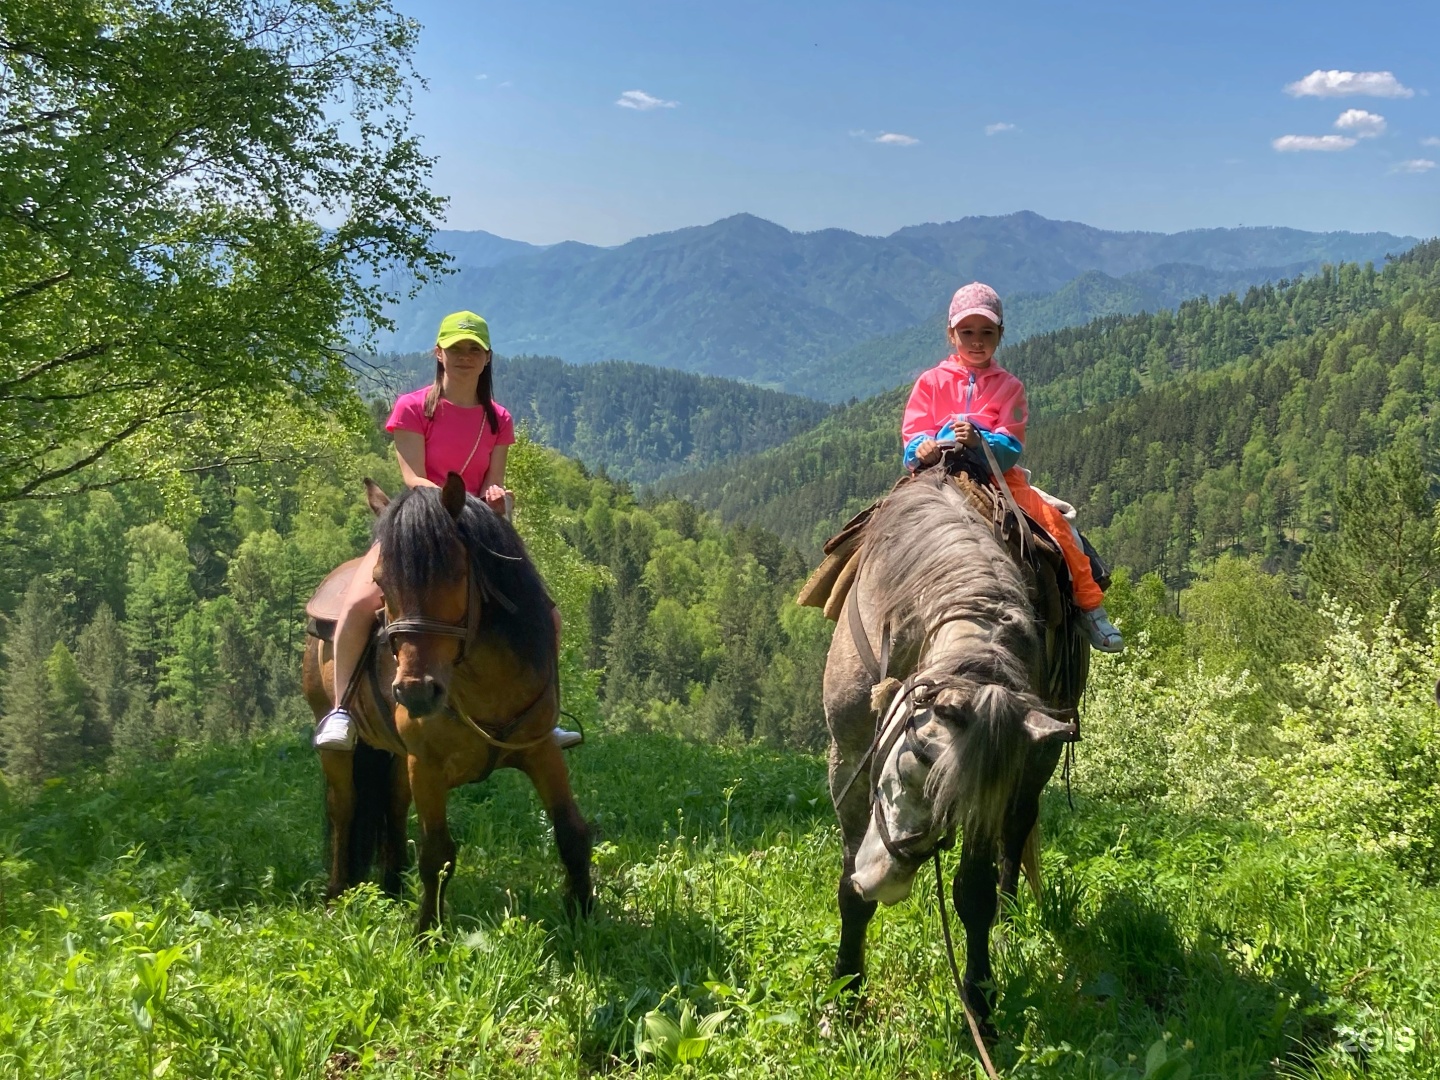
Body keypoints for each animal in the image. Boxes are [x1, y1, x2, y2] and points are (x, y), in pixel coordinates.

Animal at [300, 478, 593, 933]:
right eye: (381, 582)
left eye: (455, 572)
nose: (416, 692)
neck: (481, 683)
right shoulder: (428, 766)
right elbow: (437, 854)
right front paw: (427, 934)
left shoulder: (541, 751)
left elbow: (571, 832)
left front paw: (583, 915)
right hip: (340, 747)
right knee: (343, 808)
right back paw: (336, 897)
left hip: (396, 755)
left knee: (392, 803)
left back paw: (391, 889)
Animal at [823, 472, 1082, 1031]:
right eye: (903, 770)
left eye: (954, 806)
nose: (883, 883)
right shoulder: (848, 758)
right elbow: (848, 887)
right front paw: (845, 993)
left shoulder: (993, 783)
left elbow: (973, 895)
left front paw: (981, 1007)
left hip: (1041, 756)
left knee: (1018, 828)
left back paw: (1010, 917)